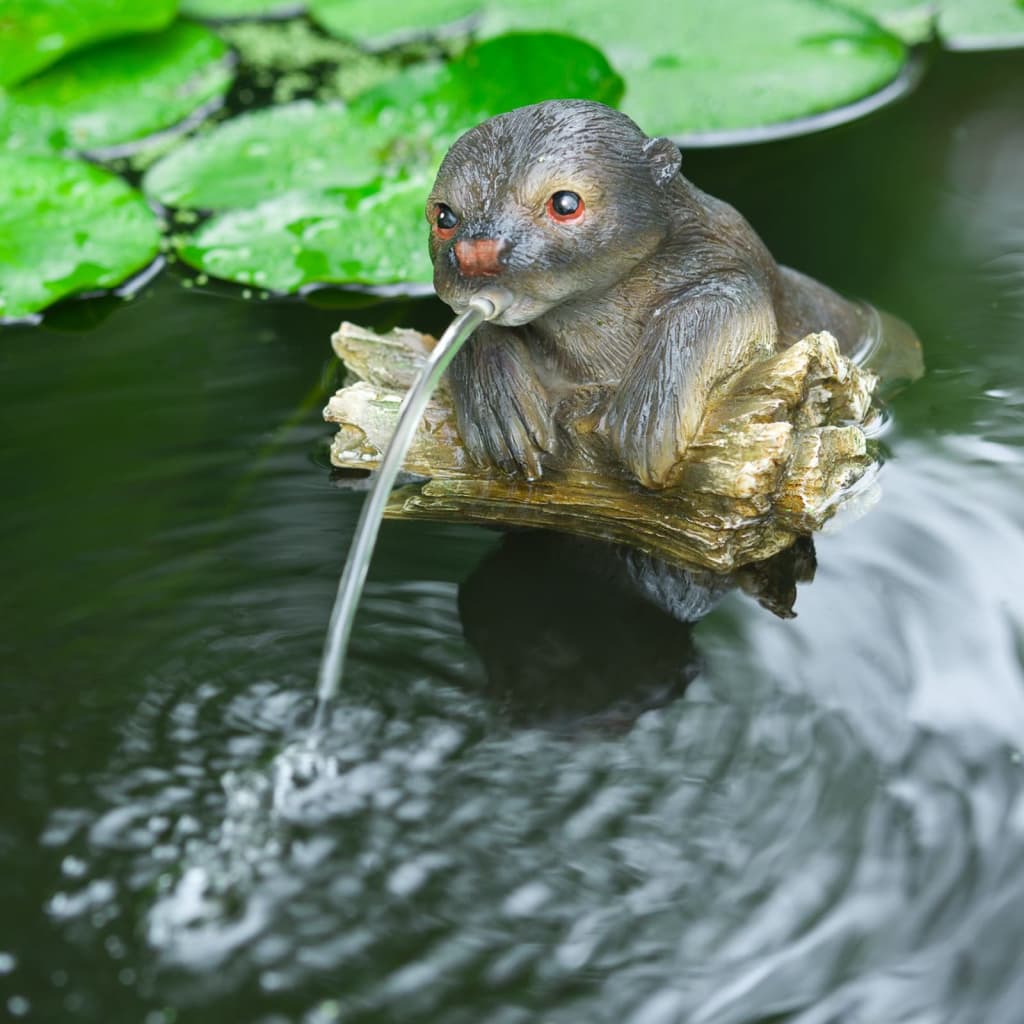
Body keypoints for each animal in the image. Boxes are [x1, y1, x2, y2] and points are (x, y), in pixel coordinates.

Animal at [427, 100, 889, 489]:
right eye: (444, 216)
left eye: (565, 203)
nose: (476, 253)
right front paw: (496, 402)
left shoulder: (736, 265)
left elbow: (716, 302)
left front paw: (649, 411)